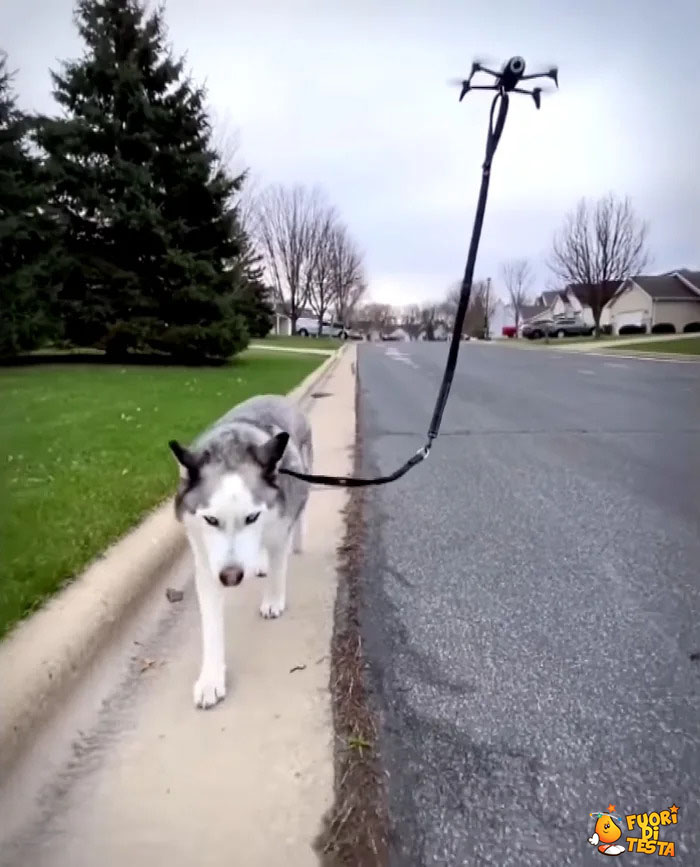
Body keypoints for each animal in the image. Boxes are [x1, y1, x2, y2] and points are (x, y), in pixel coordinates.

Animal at [168, 396, 310, 708]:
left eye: (252, 517)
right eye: (210, 520)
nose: (231, 577)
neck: (230, 450)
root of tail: (278, 397)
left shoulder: (277, 528)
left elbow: (278, 566)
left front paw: (273, 600)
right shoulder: (207, 562)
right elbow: (211, 626)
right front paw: (211, 678)